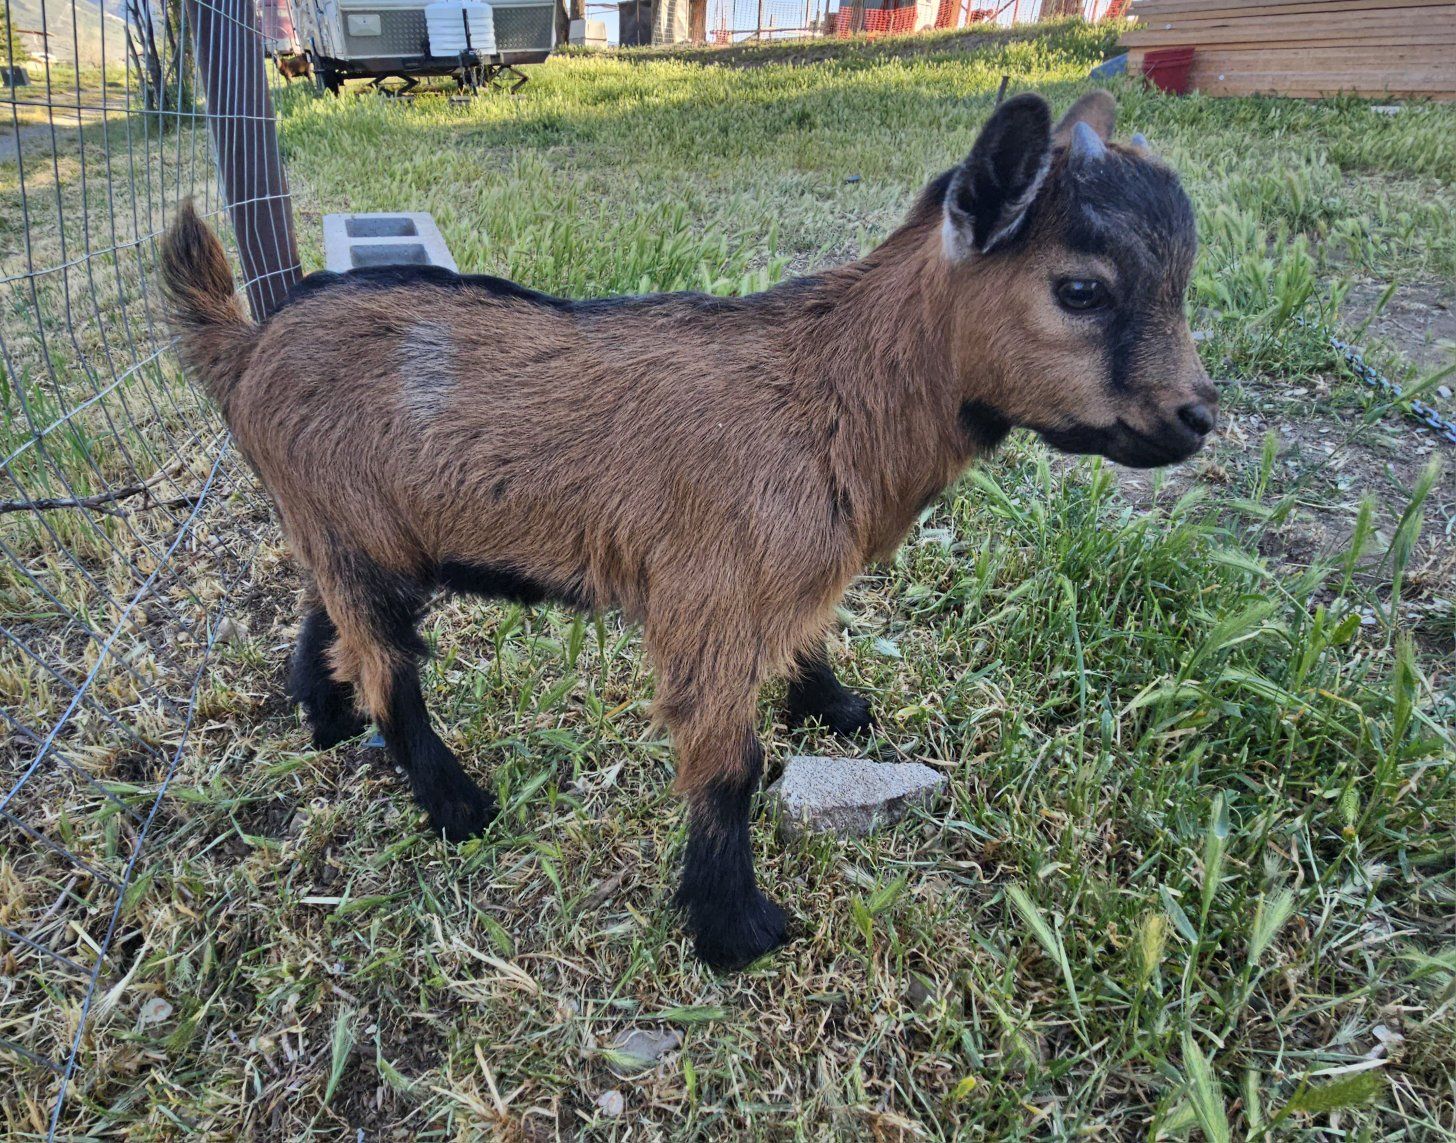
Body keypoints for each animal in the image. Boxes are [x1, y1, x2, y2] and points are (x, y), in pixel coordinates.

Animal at [160, 91, 1217, 970]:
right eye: (1081, 290)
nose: (1197, 416)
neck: (830, 392)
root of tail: (248, 346)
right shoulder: (704, 600)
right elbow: (729, 766)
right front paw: (734, 926)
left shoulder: (778, 582)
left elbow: (805, 640)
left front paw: (833, 704)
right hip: (351, 526)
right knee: (390, 666)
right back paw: (455, 802)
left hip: (352, 527)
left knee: (330, 615)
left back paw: (324, 715)